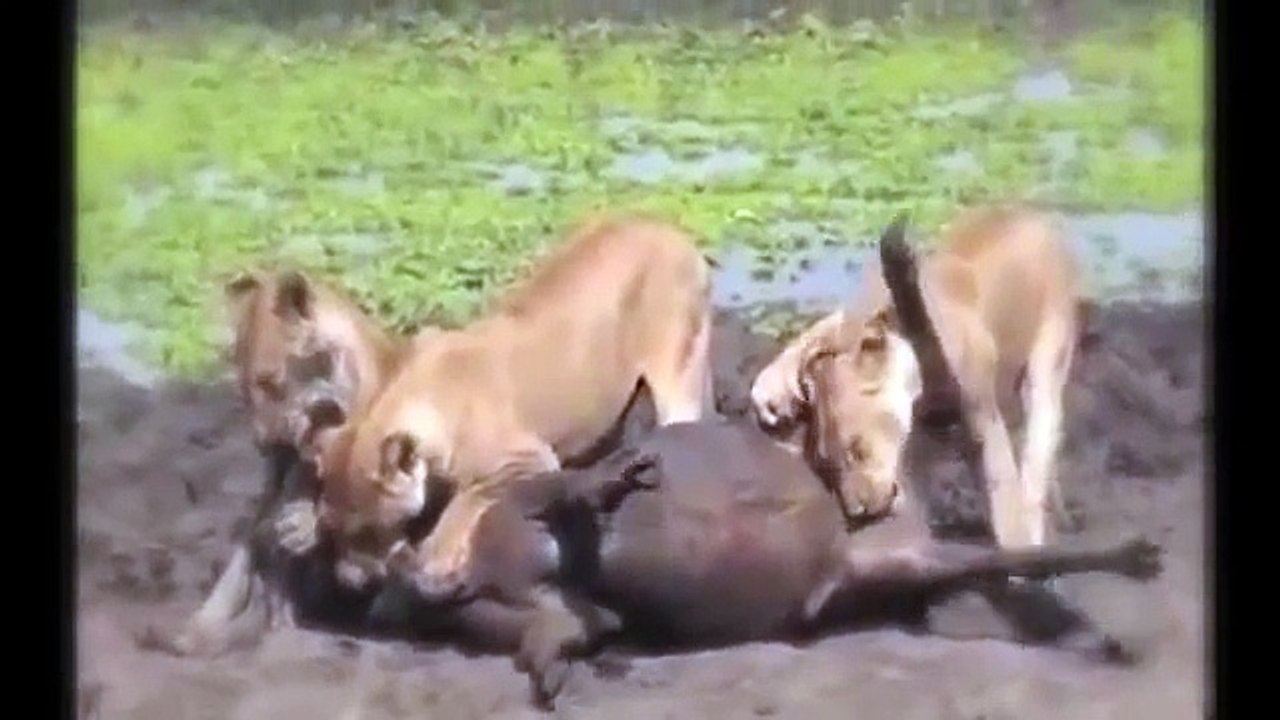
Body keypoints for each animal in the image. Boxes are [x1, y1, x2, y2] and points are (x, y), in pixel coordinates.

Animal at [297, 216, 716, 588]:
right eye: (330, 528)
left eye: (368, 530)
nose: (347, 582)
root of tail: (672, 231)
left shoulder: (525, 460)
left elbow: (469, 497)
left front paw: (438, 555)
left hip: (672, 373)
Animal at [752, 205, 1082, 550]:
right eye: (825, 465)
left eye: (857, 450)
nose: (858, 514)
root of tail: (1031, 213)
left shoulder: (980, 411)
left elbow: (1001, 483)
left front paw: (1016, 543)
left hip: (1046, 364)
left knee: (1037, 447)